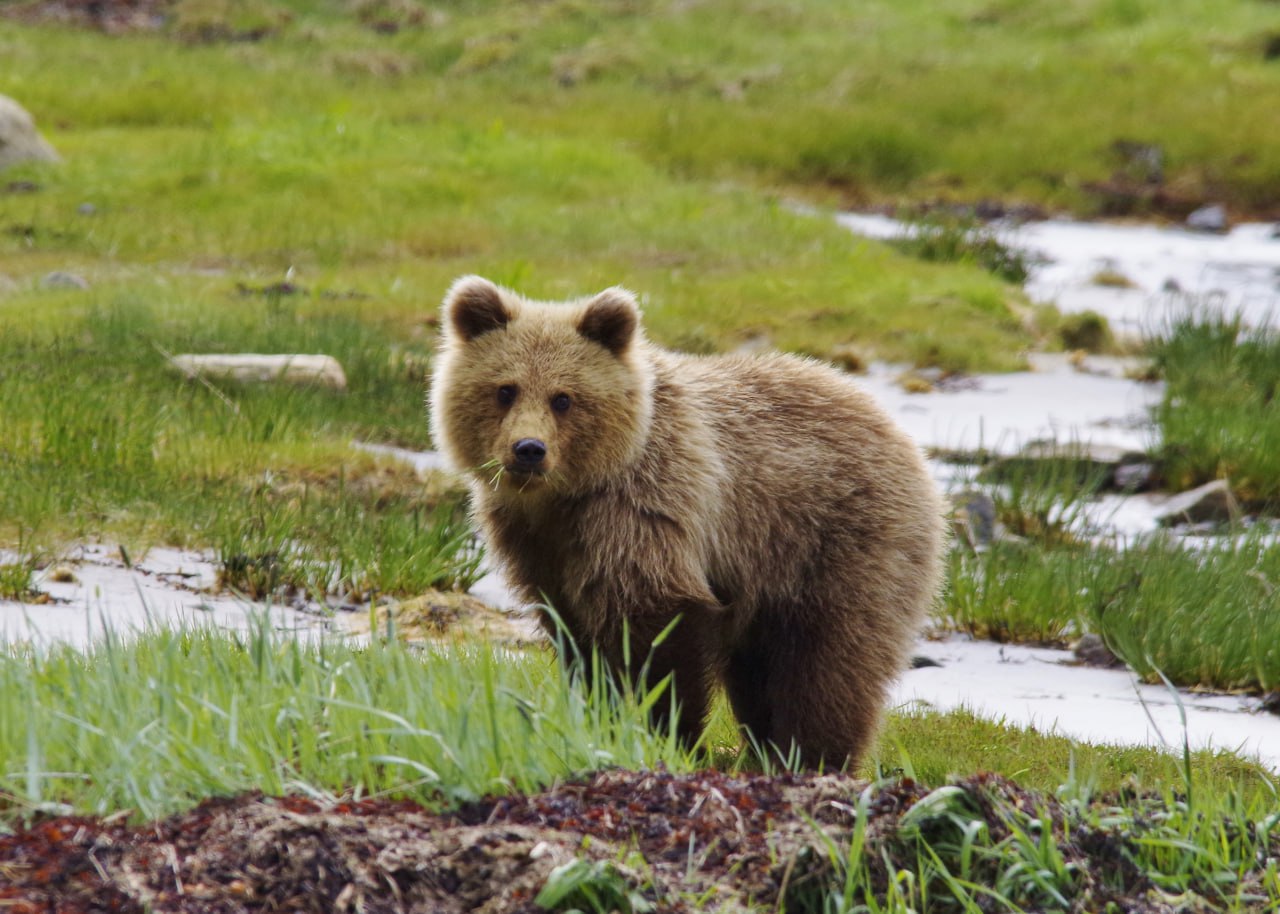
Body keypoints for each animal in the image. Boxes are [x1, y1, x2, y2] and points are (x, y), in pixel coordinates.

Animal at [435, 273, 947, 762]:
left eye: (564, 398)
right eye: (505, 390)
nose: (528, 450)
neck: (569, 496)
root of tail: (899, 433)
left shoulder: (648, 506)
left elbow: (660, 629)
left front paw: (665, 733)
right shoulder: (538, 544)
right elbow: (577, 637)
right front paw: (599, 715)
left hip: (837, 541)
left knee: (827, 664)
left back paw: (811, 756)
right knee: (759, 671)